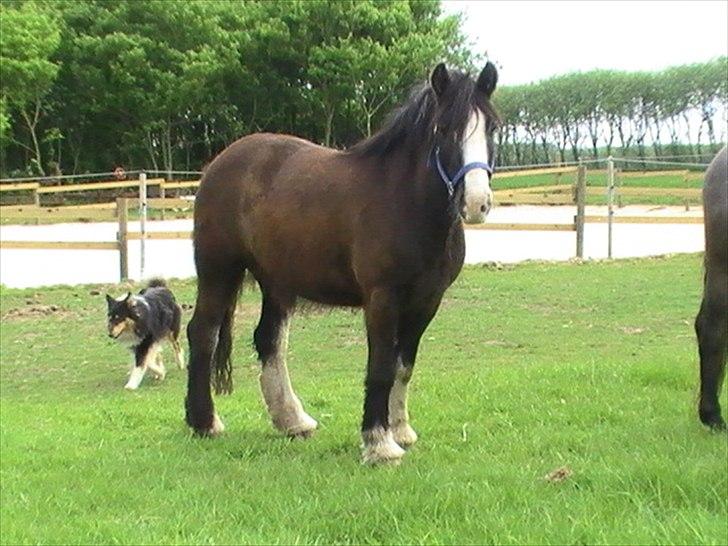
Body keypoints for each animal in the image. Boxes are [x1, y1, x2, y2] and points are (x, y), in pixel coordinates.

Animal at [185, 62, 500, 464]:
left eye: (491, 127)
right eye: (444, 129)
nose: (476, 203)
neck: (406, 203)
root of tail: (220, 163)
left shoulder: (427, 301)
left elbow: (404, 366)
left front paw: (400, 430)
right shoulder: (382, 298)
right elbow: (381, 366)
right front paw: (379, 443)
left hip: (276, 281)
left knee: (269, 340)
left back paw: (292, 420)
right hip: (218, 270)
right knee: (203, 334)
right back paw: (204, 422)